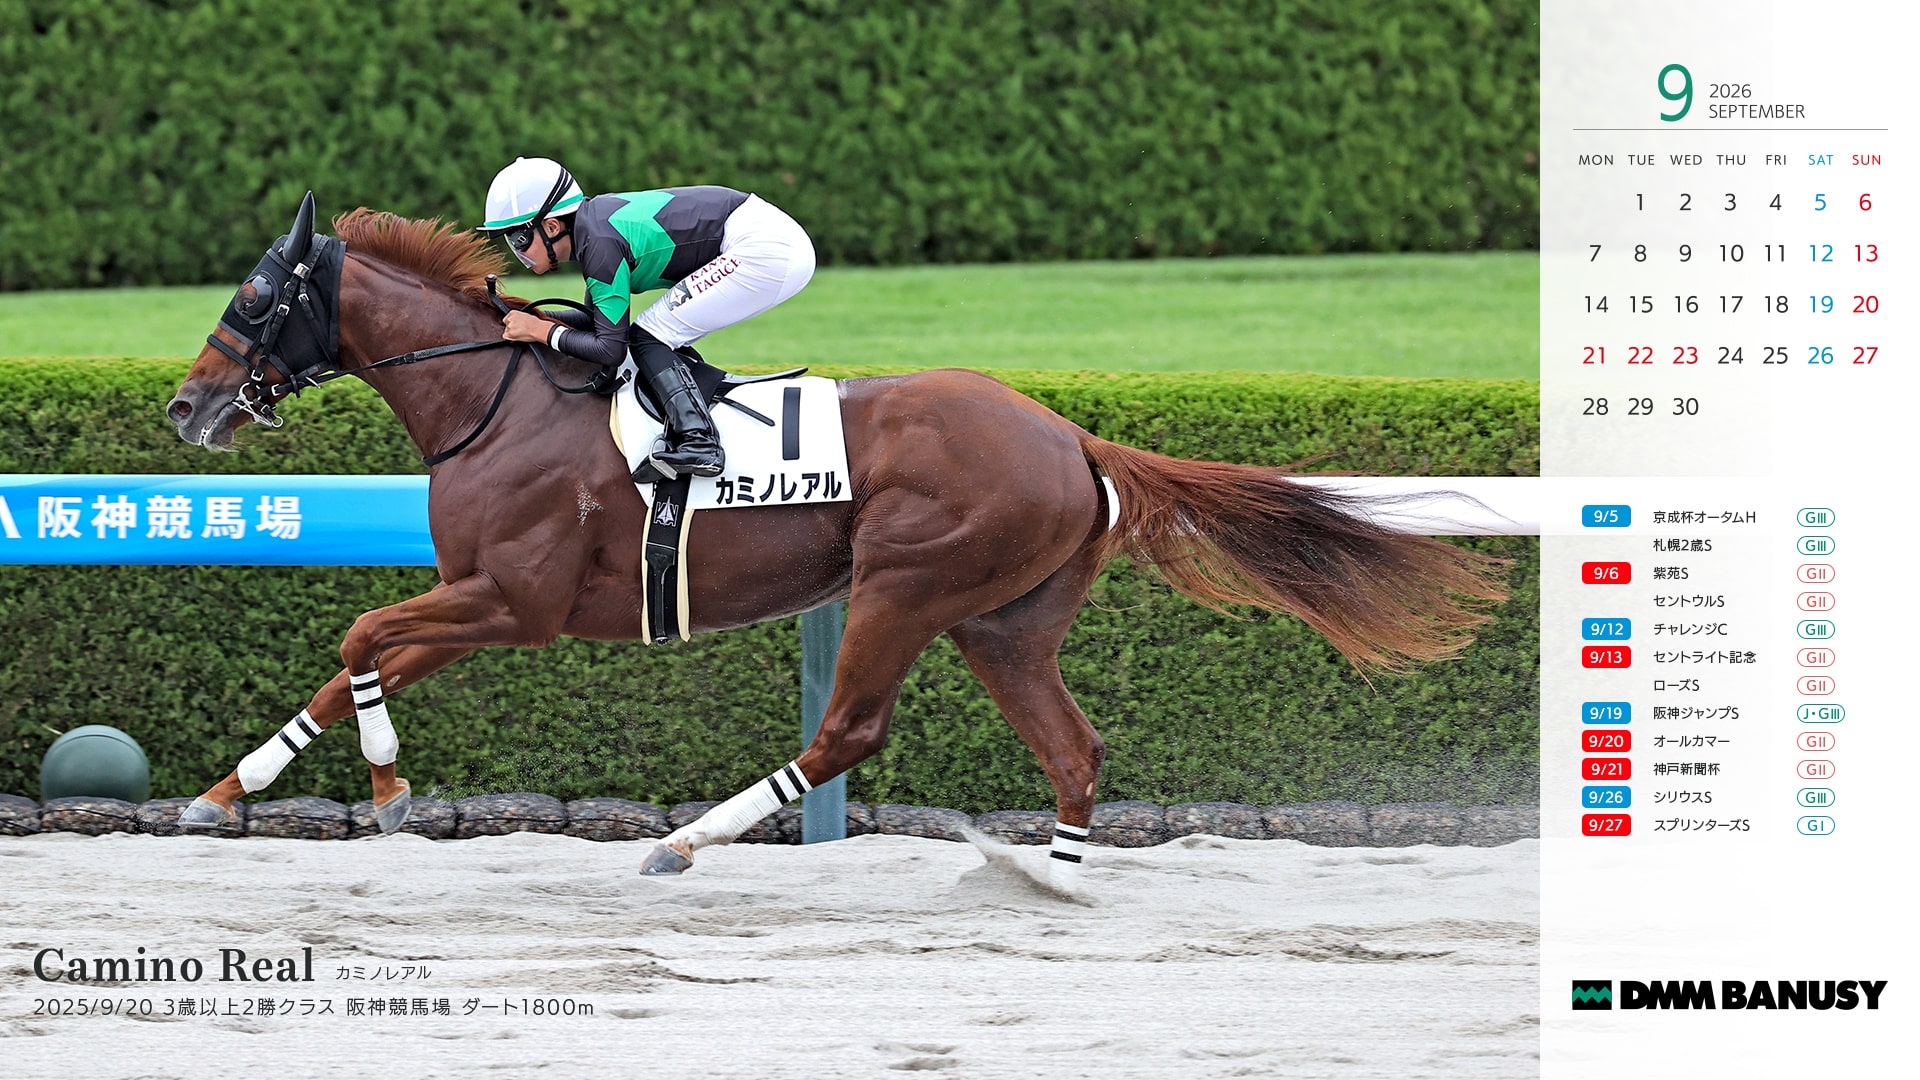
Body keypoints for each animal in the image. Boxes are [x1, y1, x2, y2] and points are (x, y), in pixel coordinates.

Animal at [164, 193, 1507, 886]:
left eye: (251, 299)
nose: (184, 408)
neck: (493, 398)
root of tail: (1069, 432)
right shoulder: (476, 594)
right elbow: (348, 663)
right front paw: (228, 791)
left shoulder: (518, 600)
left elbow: (360, 633)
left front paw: (390, 785)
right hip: (1001, 621)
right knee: (1073, 742)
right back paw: (1051, 877)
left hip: (907, 585)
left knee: (849, 729)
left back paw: (684, 843)